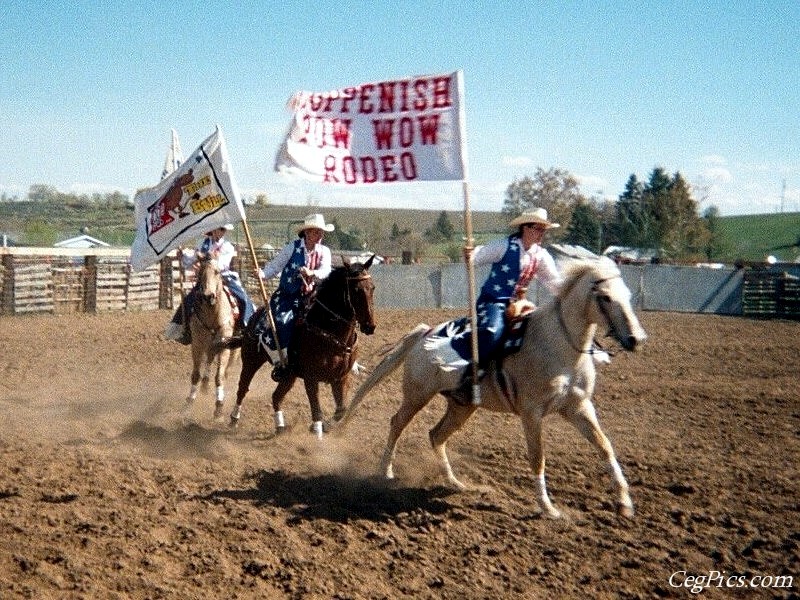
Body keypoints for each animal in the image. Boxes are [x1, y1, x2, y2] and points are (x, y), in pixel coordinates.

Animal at [184, 255, 238, 420]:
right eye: (200, 271)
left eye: (217, 272)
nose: (207, 296)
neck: (212, 315)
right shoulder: (197, 345)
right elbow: (195, 375)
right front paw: (189, 402)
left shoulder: (224, 347)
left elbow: (219, 377)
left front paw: (219, 407)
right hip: (209, 346)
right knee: (208, 361)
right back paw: (204, 385)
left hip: (233, 352)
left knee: (225, 372)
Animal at [225, 256, 376, 436]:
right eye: (356, 290)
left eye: (372, 288)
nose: (370, 326)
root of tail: (253, 318)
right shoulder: (311, 379)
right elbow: (317, 411)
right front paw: (317, 432)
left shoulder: (340, 378)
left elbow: (341, 410)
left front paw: (324, 426)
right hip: (251, 361)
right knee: (243, 388)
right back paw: (234, 419)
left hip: (289, 375)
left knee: (276, 397)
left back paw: (280, 426)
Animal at [340, 258, 648, 520]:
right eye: (605, 297)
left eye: (628, 295)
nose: (635, 339)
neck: (557, 346)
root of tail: (425, 334)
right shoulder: (531, 413)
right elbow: (538, 458)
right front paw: (548, 508)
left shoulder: (579, 407)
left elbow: (605, 446)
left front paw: (624, 503)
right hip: (417, 395)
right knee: (397, 423)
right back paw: (386, 470)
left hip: (461, 406)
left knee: (436, 435)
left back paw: (454, 482)